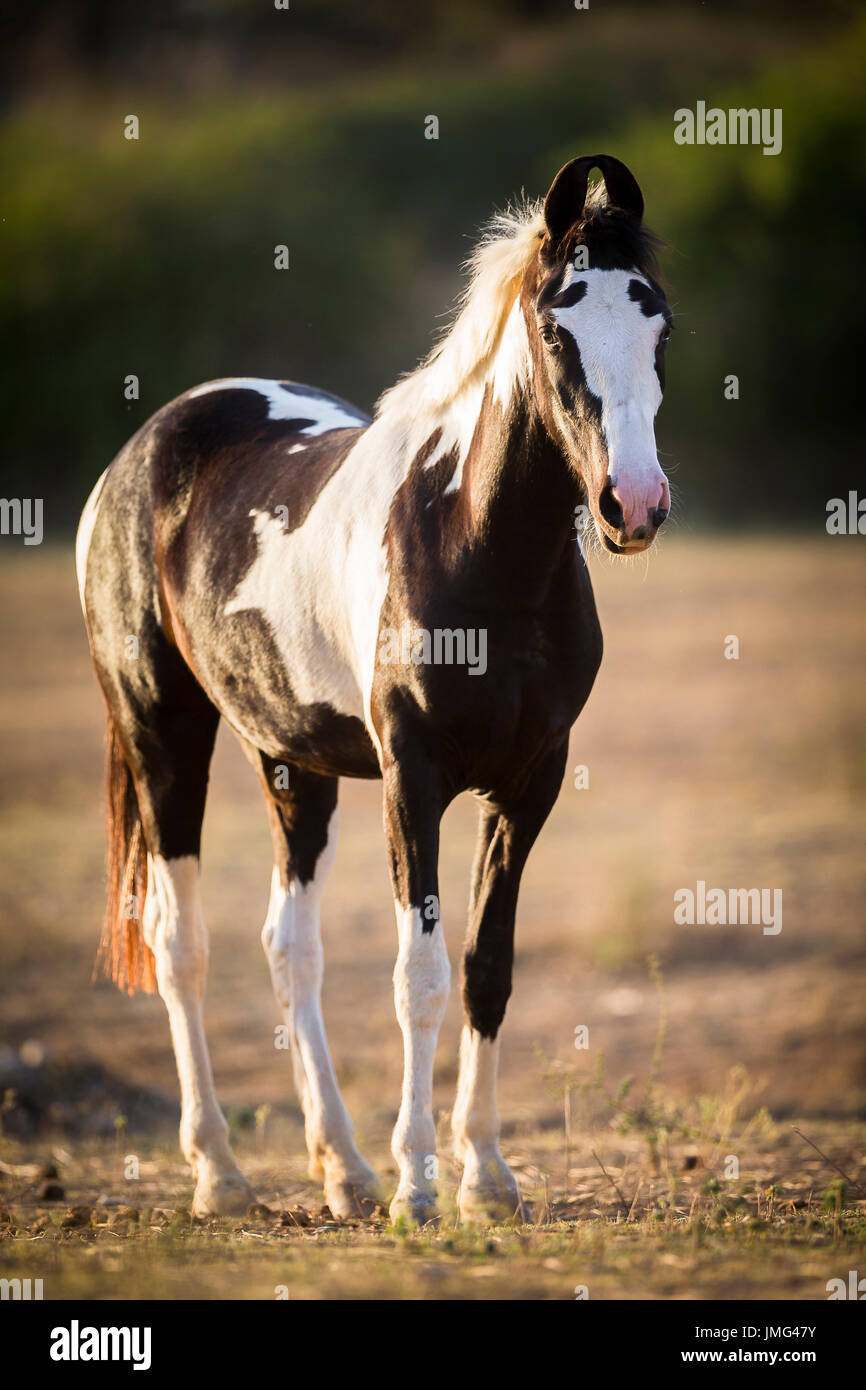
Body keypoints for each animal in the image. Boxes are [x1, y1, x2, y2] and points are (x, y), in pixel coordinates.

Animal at [77, 154, 678, 1228]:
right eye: (556, 326)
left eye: (660, 324)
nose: (634, 506)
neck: (484, 554)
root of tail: (140, 453)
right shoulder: (414, 781)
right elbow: (419, 978)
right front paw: (420, 1187)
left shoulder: (530, 783)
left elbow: (486, 970)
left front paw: (486, 1177)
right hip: (162, 736)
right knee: (180, 943)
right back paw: (222, 1177)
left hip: (293, 763)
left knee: (289, 946)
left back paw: (343, 1172)